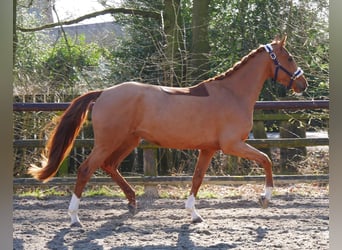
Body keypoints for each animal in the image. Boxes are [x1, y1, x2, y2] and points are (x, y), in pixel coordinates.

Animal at [29, 36, 308, 226]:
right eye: (289, 58)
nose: (303, 83)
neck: (232, 94)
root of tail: (104, 93)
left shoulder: (208, 149)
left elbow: (197, 178)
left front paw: (194, 214)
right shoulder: (232, 145)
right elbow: (267, 159)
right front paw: (264, 198)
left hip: (129, 141)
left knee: (110, 166)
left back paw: (132, 201)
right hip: (108, 142)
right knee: (86, 170)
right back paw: (74, 217)